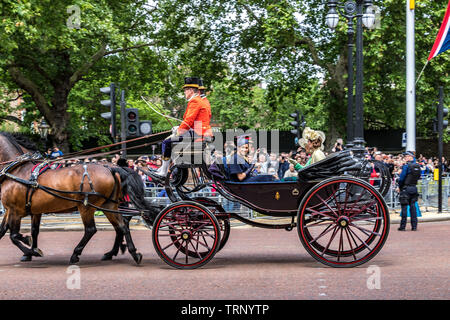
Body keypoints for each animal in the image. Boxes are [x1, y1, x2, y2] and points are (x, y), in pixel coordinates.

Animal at [0, 132, 158, 264]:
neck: (18, 171)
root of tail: (111, 168)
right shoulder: (23, 211)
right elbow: (19, 231)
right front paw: (31, 251)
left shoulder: (15, 210)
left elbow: (14, 236)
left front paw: (31, 249)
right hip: (108, 205)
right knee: (122, 226)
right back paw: (130, 253)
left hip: (86, 206)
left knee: (91, 229)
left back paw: (76, 254)